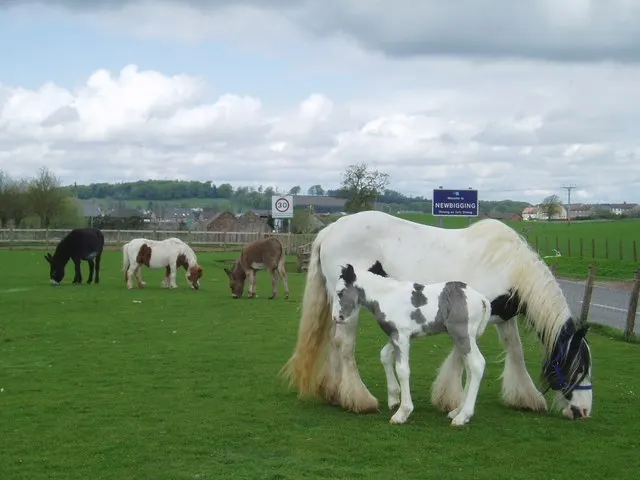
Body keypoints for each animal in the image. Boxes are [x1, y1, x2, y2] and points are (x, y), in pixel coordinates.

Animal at [332, 263, 492, 426]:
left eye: (340, 292)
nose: (336, 317)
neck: (387, 296)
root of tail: (482, 298)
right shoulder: (396, 335)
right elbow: (384, 355)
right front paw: (394, 399)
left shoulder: (401, 336)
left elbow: (402, 370)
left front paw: (402, 413)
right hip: (465, 339)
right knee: (470, 368)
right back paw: (456, 411)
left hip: (462, 335)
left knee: (477, 364)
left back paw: (463, 416)